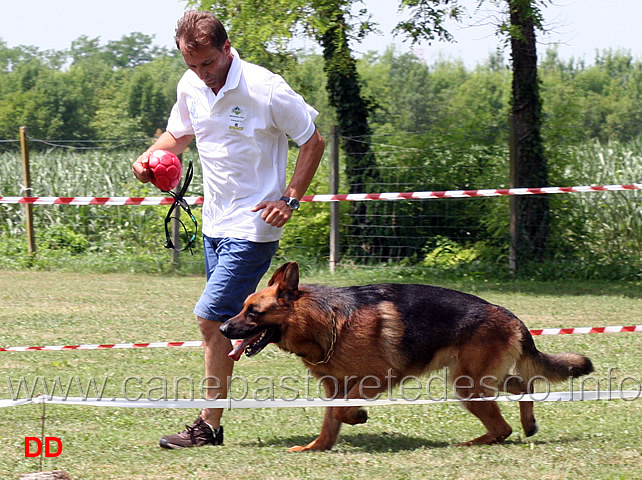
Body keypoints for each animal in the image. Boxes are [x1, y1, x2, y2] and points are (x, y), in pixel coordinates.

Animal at [220, 260, 592, 452]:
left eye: (253, 312)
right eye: (242, 307)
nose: (223, 328)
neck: (326, 320)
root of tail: (511, 315)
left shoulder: (377, 377)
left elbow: (341, 410)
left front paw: (357, 416)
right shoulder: (335, 385)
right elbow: (330, 418)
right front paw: (318, 447)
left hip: (467, 384)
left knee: (503, 425)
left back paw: (475, 441)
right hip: (480, 379)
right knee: (522, 385)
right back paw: (527, 423)